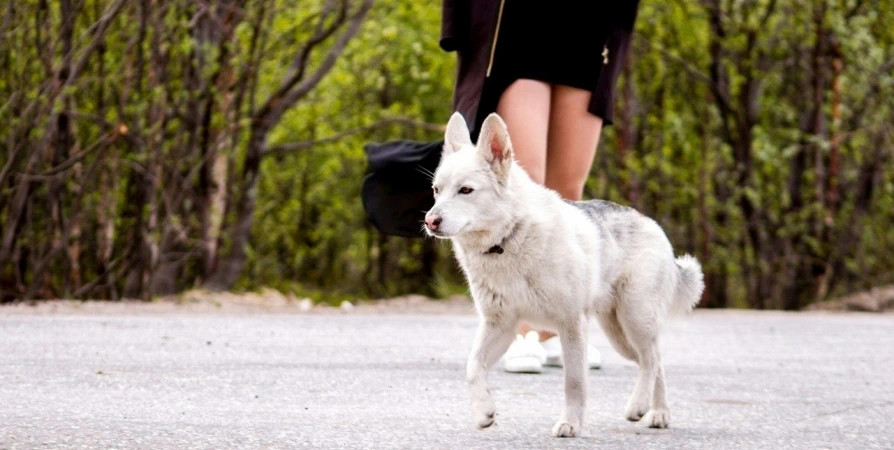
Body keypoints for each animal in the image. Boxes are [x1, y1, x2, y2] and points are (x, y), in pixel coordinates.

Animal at [428, 113, 708, 440]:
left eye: (466, 190)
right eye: (436, 190)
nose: (430, 221)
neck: (510, 238)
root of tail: (653, 225)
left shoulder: (571, 324)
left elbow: (574, 381)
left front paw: (571, 424)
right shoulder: (501, 326)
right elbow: (473, 367)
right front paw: (484, 412)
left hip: (635, 320)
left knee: (652, 360)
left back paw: (644, 408)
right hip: (620, 336)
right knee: (654, 361)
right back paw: (657, 413)